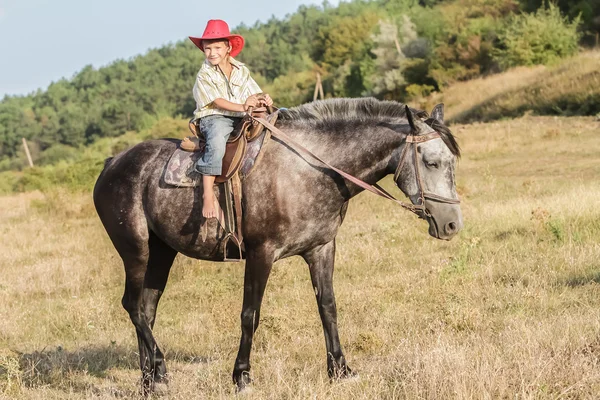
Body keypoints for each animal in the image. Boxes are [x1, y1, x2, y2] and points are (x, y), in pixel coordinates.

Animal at [91, 97, 462, 394]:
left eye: (451, 162)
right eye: (431, 162)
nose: (452, 224)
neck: (311, 169)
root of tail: (112, 163)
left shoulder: (321, 248)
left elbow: (328, 307)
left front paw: (340, 370)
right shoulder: (261, 254)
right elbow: (250, 315)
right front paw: (241, 377)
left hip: (162, 253)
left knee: (147, 309)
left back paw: (149, 381)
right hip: (136, 251)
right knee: (134, 306)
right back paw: (161, 370)